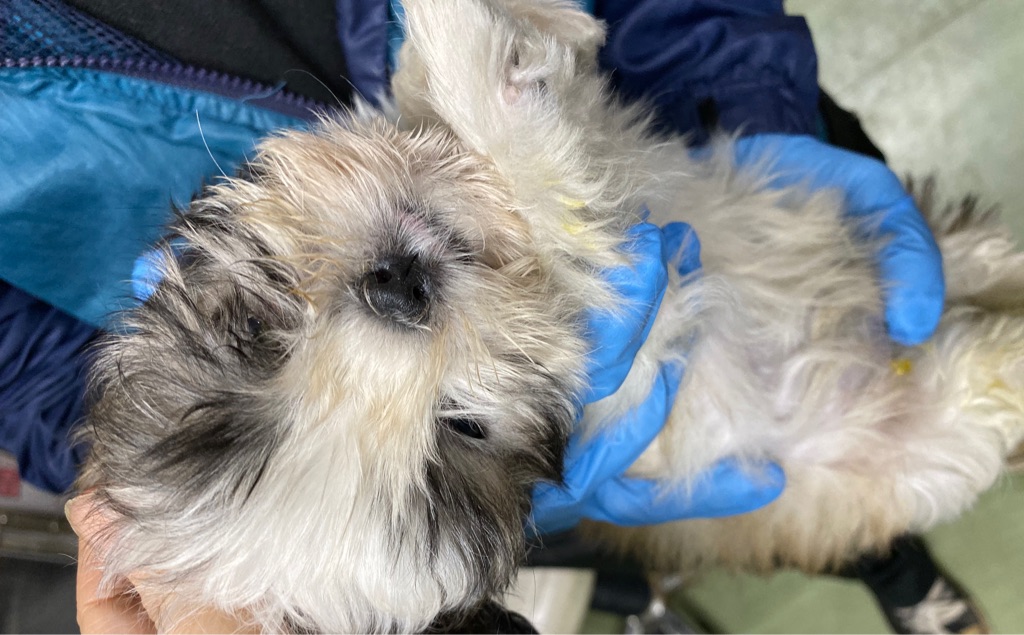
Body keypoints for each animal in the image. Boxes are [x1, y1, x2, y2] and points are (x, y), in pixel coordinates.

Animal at [79, 0, 1024, 631]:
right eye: (461, 426)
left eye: (256, 328)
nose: (399, 288)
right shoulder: (624, 330)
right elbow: (555, 198)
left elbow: (445, 94)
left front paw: (501, 28)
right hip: (917, 441)